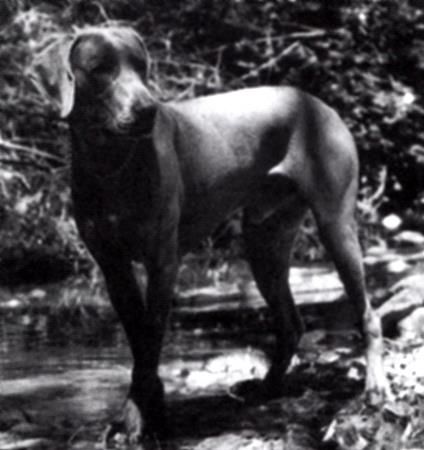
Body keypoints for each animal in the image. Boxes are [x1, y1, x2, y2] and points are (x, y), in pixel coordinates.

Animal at [36, 25, 388, 442]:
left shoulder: (163, 263)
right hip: (263, 241)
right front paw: (149, 410)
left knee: (368, 314)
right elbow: (139, 341)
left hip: (336, 225)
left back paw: (375, 388)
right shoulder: (113, 267)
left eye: (141, 67)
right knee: (291, 324)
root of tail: (317, 103)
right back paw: (266, 388)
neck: (111, 164)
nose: (147, 110)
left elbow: (150, 342)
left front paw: (136, 419)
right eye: (99, 69)